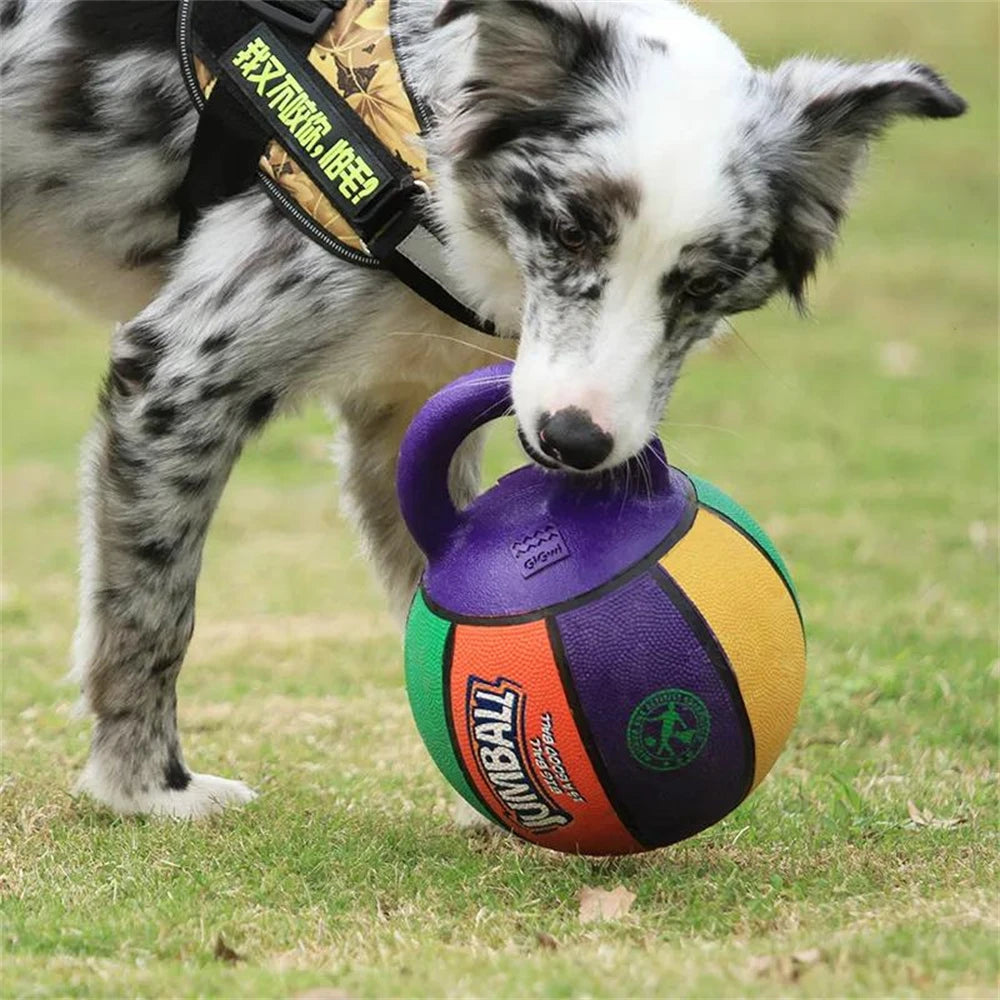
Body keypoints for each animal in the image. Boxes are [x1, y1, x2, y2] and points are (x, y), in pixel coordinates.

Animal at [0, 0, 968, 816]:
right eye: (570, 231)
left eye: (703, 284)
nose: (576, 442)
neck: (412, 127)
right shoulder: (180, 373)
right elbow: (152, 609)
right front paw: (144, 789)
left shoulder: (399, 411)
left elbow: (428, 571)